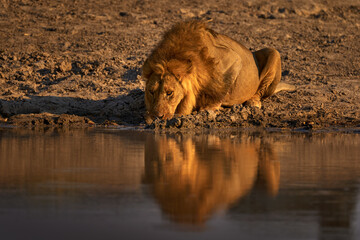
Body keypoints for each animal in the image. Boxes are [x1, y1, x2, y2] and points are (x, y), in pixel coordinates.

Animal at [142, 20, 294, 122]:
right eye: (151, 91)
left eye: (169, 93)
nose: (157, 117)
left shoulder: (233, 59)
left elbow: (221, 89)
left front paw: (208, 109)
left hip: (274, 53)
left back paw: (253, 102)